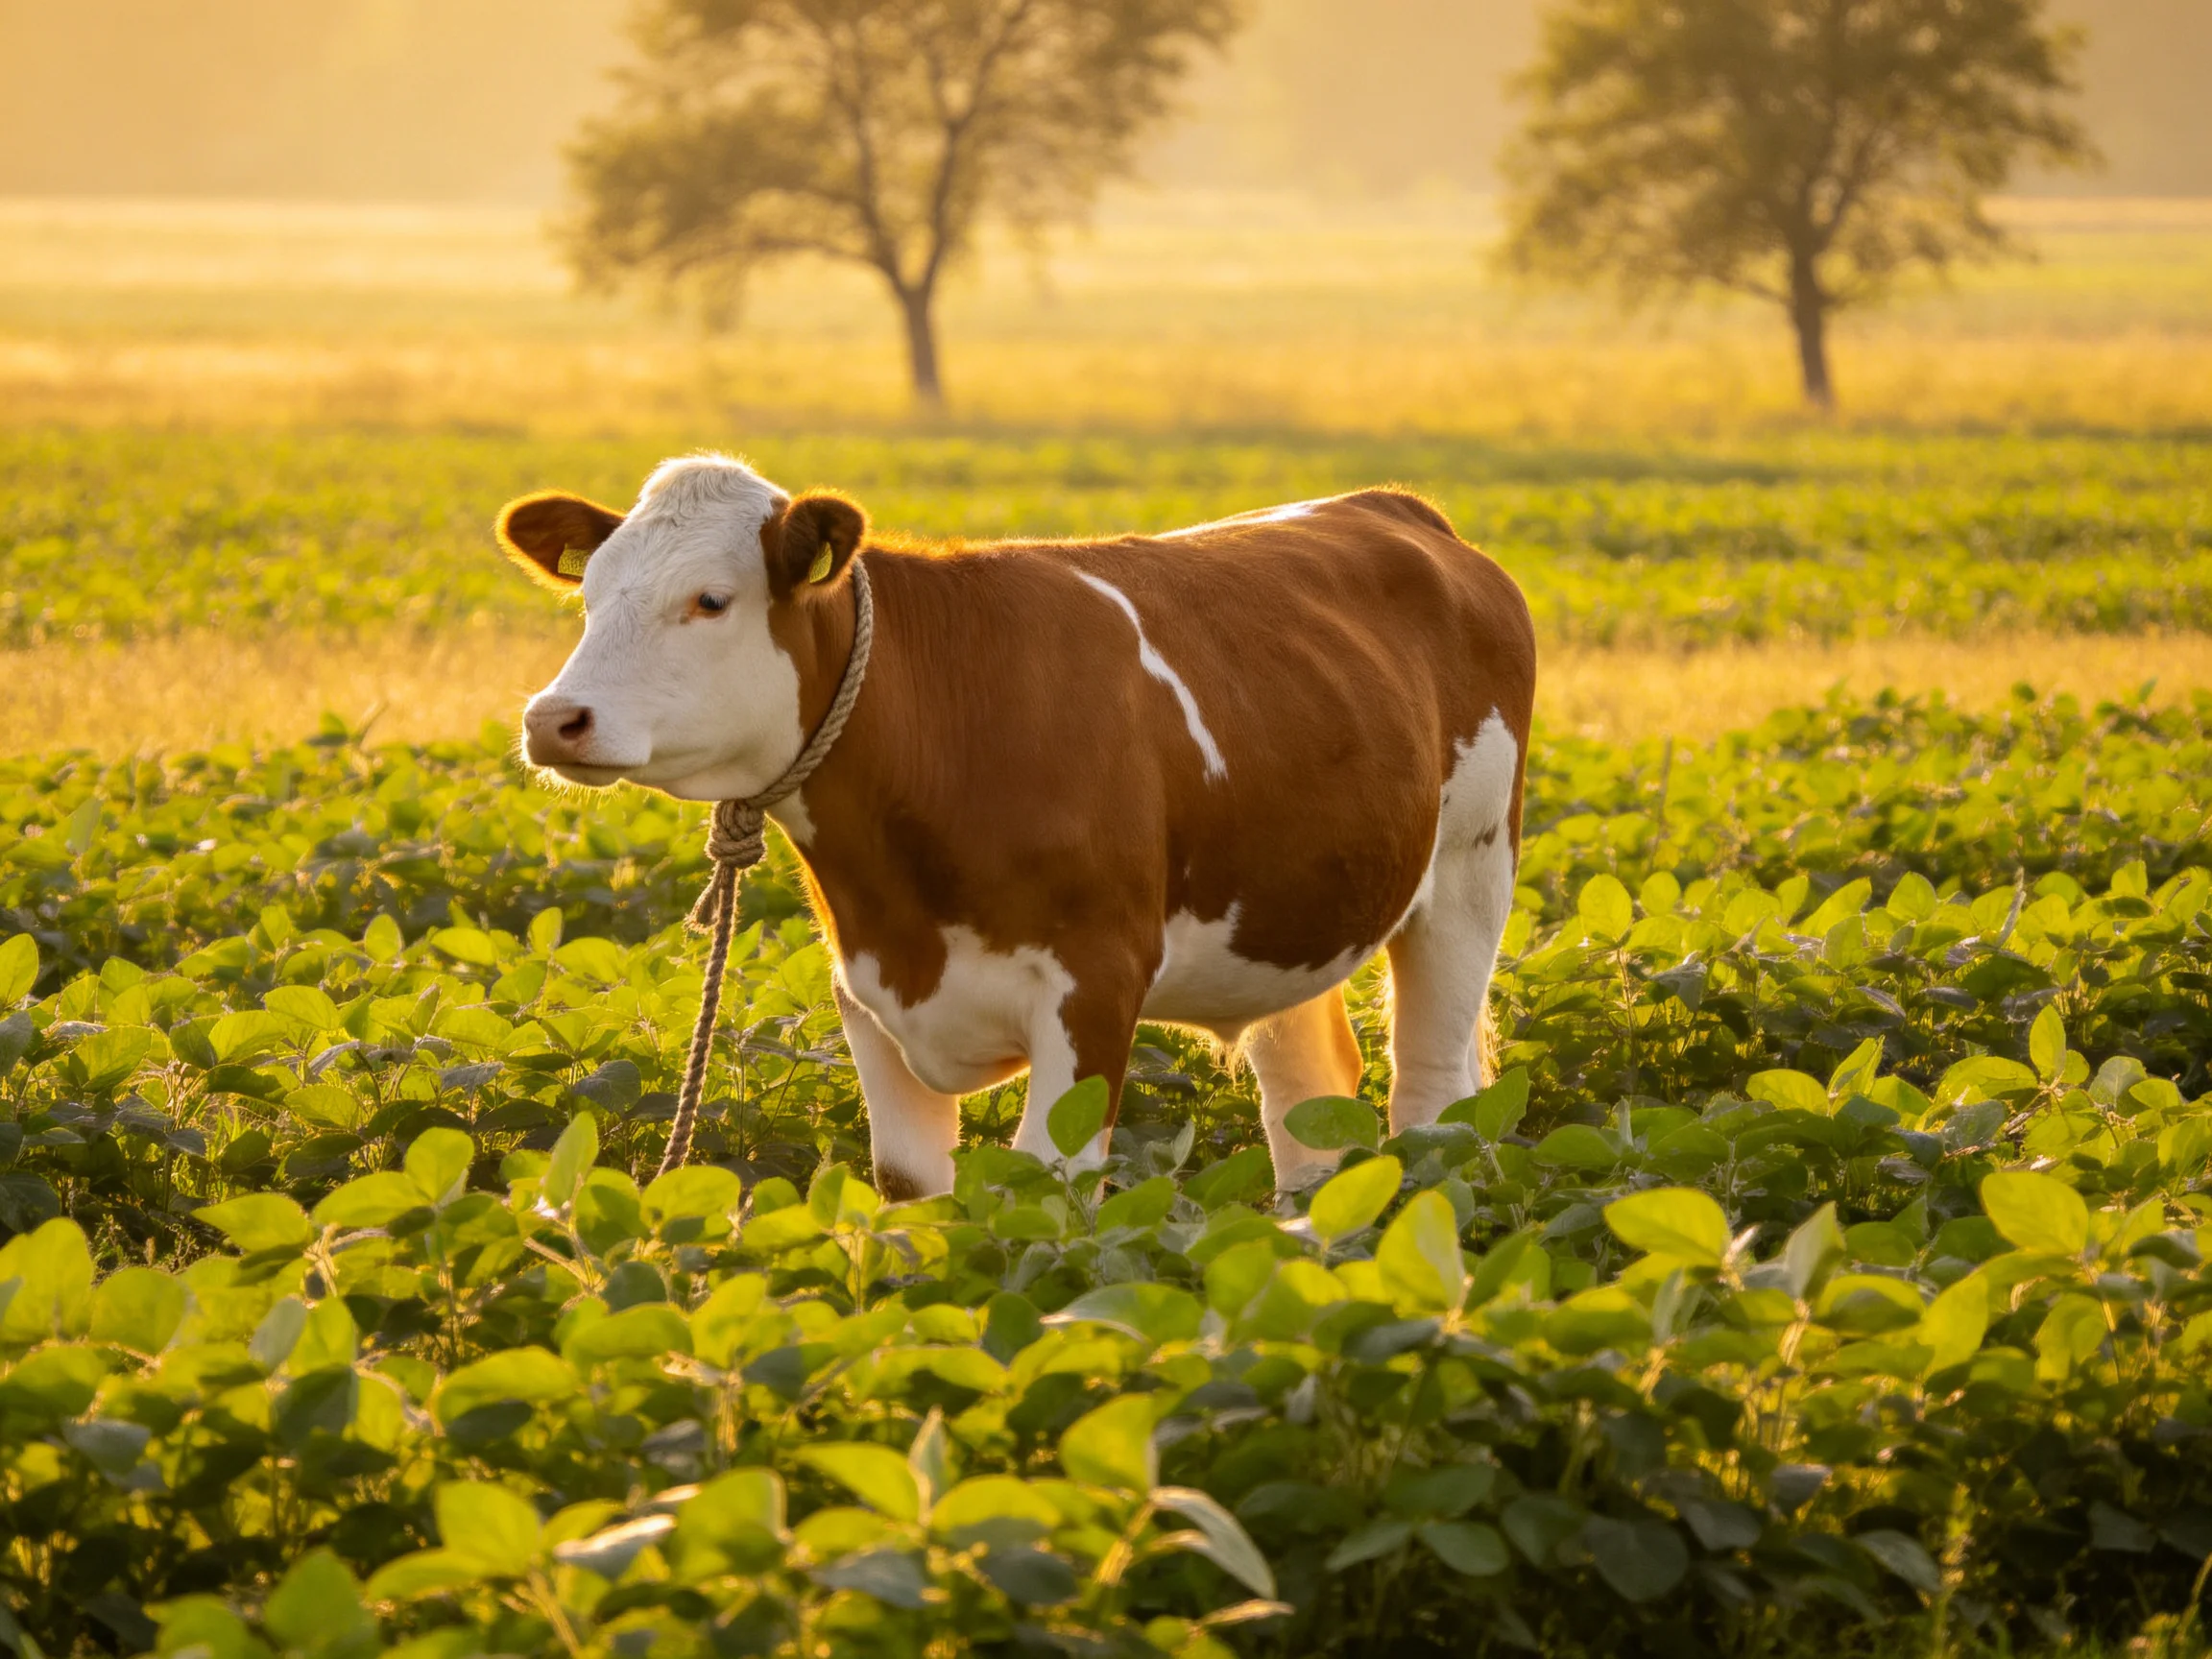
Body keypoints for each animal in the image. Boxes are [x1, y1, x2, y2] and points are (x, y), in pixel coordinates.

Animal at [498, 454, 1535, 1200]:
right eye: (589, 595)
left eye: (710, 599)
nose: (555, 718)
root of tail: (1394, 507)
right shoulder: (864, 996)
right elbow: (911, 1194)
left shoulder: (1097, 983)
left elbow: (1045, 1185)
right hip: (1286, 922)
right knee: (1307, 1107)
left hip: (1471, 872)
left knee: (1429, 1089)